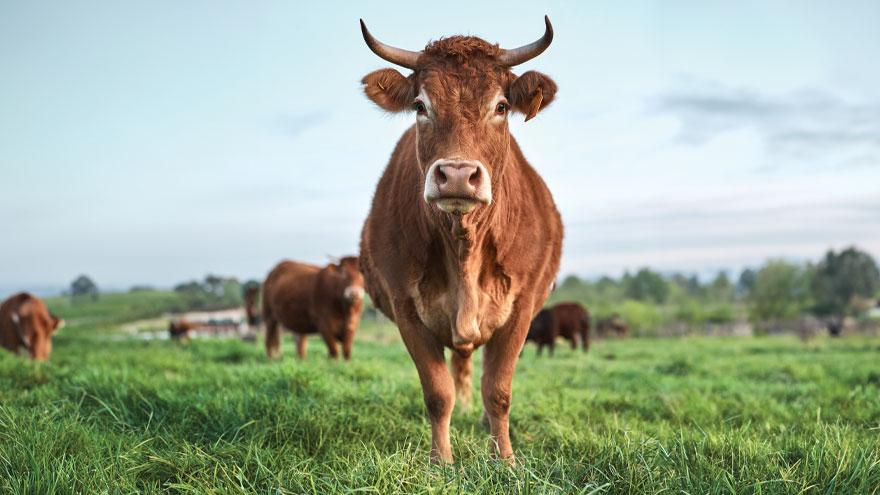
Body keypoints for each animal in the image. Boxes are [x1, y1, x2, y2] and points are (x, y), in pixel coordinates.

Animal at [358, 16, 562, 463]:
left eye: (500, 107)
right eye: (420, 106)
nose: (455, 175)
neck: (463, 243)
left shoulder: (521, 309)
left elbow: (498, 391)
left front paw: (505, 460)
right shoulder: (406, 308)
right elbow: (439, 393)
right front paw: (441, 461)